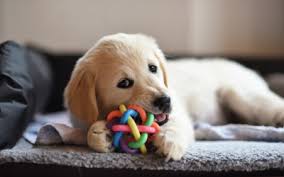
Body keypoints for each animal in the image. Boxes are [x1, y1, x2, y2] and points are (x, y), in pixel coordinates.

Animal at [64, 32, 284, 160]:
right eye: (124, 83)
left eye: (153, 68)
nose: (165, 101)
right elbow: (88, 132)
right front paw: (101, 134)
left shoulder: (177, 113)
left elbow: (174, 125)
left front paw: (169, 142)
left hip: (239, 94)